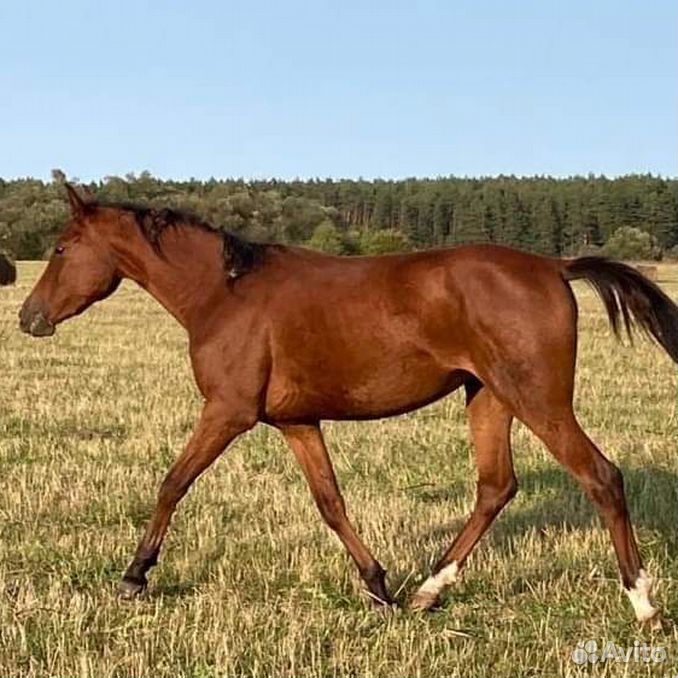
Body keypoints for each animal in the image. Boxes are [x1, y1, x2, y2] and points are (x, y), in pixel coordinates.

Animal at [18, 185, 676, 628]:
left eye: (62, 247)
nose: (29, 317)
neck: (223, 294)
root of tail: (553, 266)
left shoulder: (228, 412)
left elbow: (174, 482)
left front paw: (135, 576)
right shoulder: (295, 421)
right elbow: (330, 502)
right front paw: (379, 585)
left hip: (537, 398)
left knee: (600, 476)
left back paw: (641, 602)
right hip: (488, 396)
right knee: (496, 487)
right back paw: (428, 591)